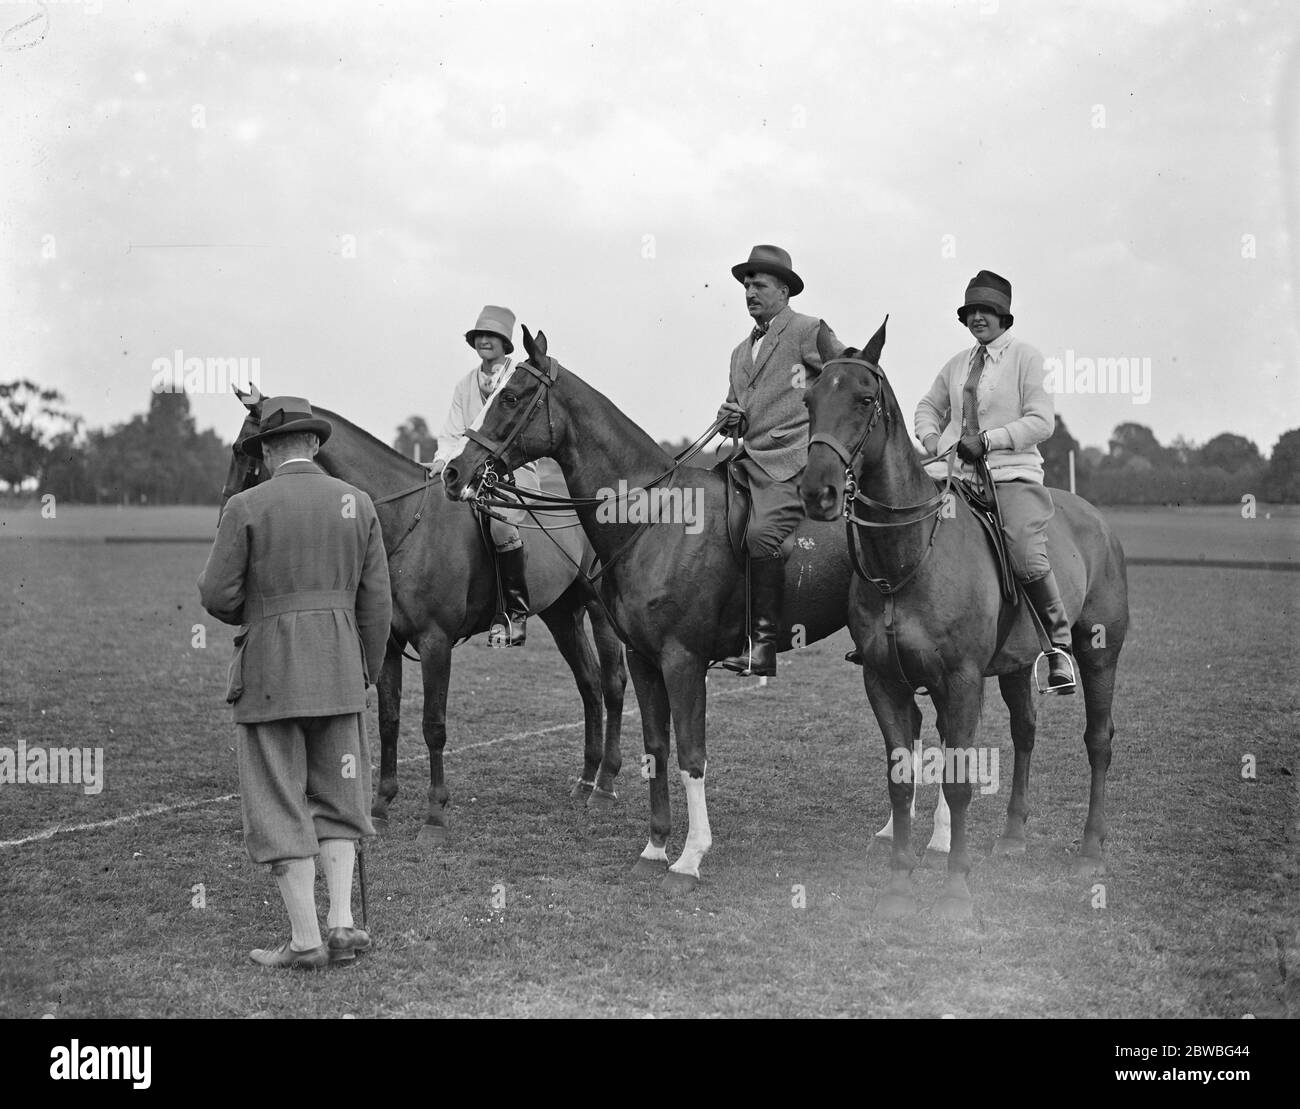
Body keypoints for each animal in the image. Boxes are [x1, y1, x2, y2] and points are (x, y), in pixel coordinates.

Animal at [220, 384, 626, 842]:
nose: (225, 517)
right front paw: (381, 806)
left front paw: (434, 814)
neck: (403, 521)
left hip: (598, 611)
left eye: (241, 449)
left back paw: (605, 784)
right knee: (588, 685)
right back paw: (586, 780)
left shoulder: (435, 643)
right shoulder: (388, 644)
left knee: (611, 684)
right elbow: (389, 720)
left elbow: (433, 725)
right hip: (561, 613)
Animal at [795, 318, 1123, 915]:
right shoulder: (884, 680)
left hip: (1100, 653)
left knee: (1098, 739)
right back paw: (1013, 836)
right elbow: (901, 778)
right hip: (1015, 666)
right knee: (1026, 731)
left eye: (864, 398)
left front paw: (954, 892)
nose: (818, 491)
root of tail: (1098, 520)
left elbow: (959, 781)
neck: (907, 557)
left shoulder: (963, 680)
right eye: (809, 399)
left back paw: (1091, 849)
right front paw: (899, 887)